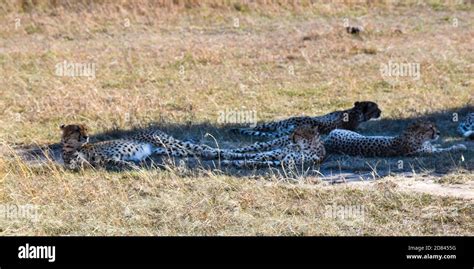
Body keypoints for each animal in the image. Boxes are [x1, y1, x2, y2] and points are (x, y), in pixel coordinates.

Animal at [324, 120, 468, 156]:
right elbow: (446, 149)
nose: (438, 133)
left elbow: (436, 145)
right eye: (430, 128)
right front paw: (459, 146)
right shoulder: (428, 152)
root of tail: (327, 141)